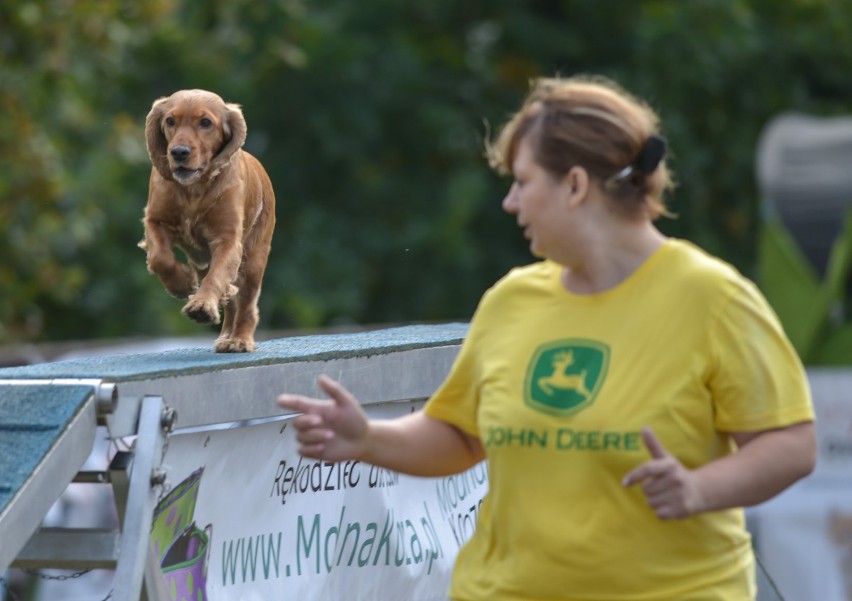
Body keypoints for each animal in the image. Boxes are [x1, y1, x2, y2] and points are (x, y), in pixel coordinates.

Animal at [138, 89, 274, 352]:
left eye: (206, 123)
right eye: (170, 121)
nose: (178, 152)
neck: (194, 190)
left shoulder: (228, 240)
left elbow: (216, 277)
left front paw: (202, 306)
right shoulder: (155, 220)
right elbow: (160, 258)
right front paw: (181, 284)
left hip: (254, 260)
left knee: (246, 304)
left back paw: (240, 339)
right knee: (230, 301)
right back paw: (226, 335)